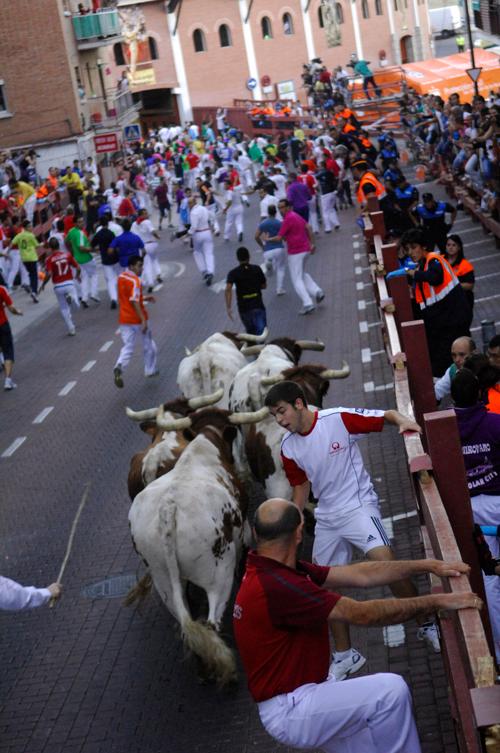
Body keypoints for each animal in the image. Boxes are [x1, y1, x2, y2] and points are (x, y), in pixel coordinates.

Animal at [129, 406, 270, 688]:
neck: (203, 447)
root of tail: (169, 508)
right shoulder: (243, 532)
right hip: (219, 574)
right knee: (211, 621)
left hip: (164, 582)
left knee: (189, 624)